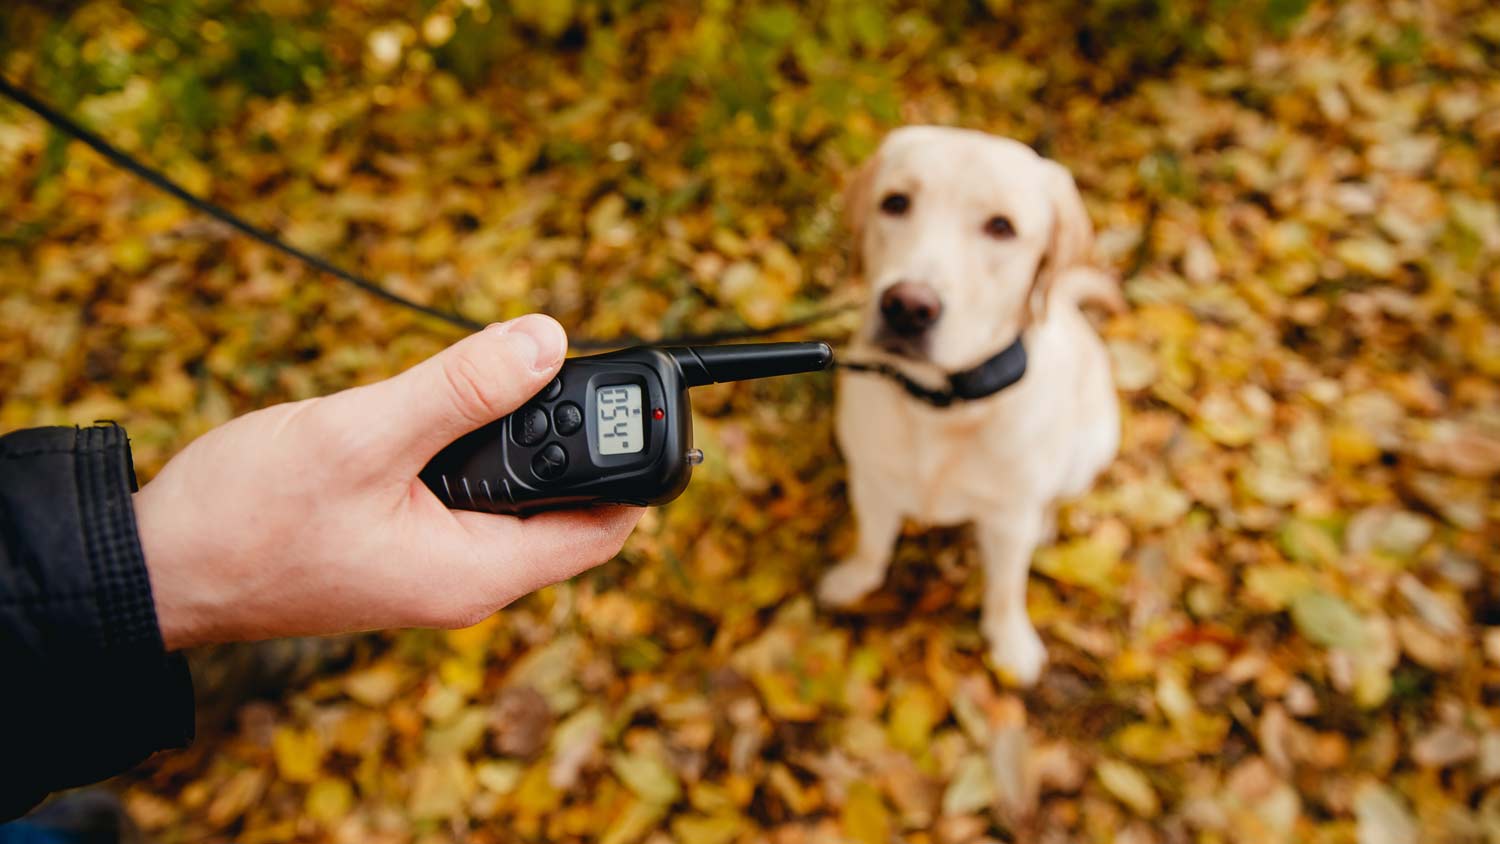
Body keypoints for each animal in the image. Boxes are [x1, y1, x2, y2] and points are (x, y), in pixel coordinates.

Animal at [822, 130, 1128, 686]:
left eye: (1001, 227)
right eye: (895, 202)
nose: (908, 306)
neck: (942, 406)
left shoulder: (1007, 521)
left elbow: (1006, 589)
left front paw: (1011, 643)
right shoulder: (871, 484)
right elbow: (872, 545)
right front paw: (854, 580)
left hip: (1091, 450)